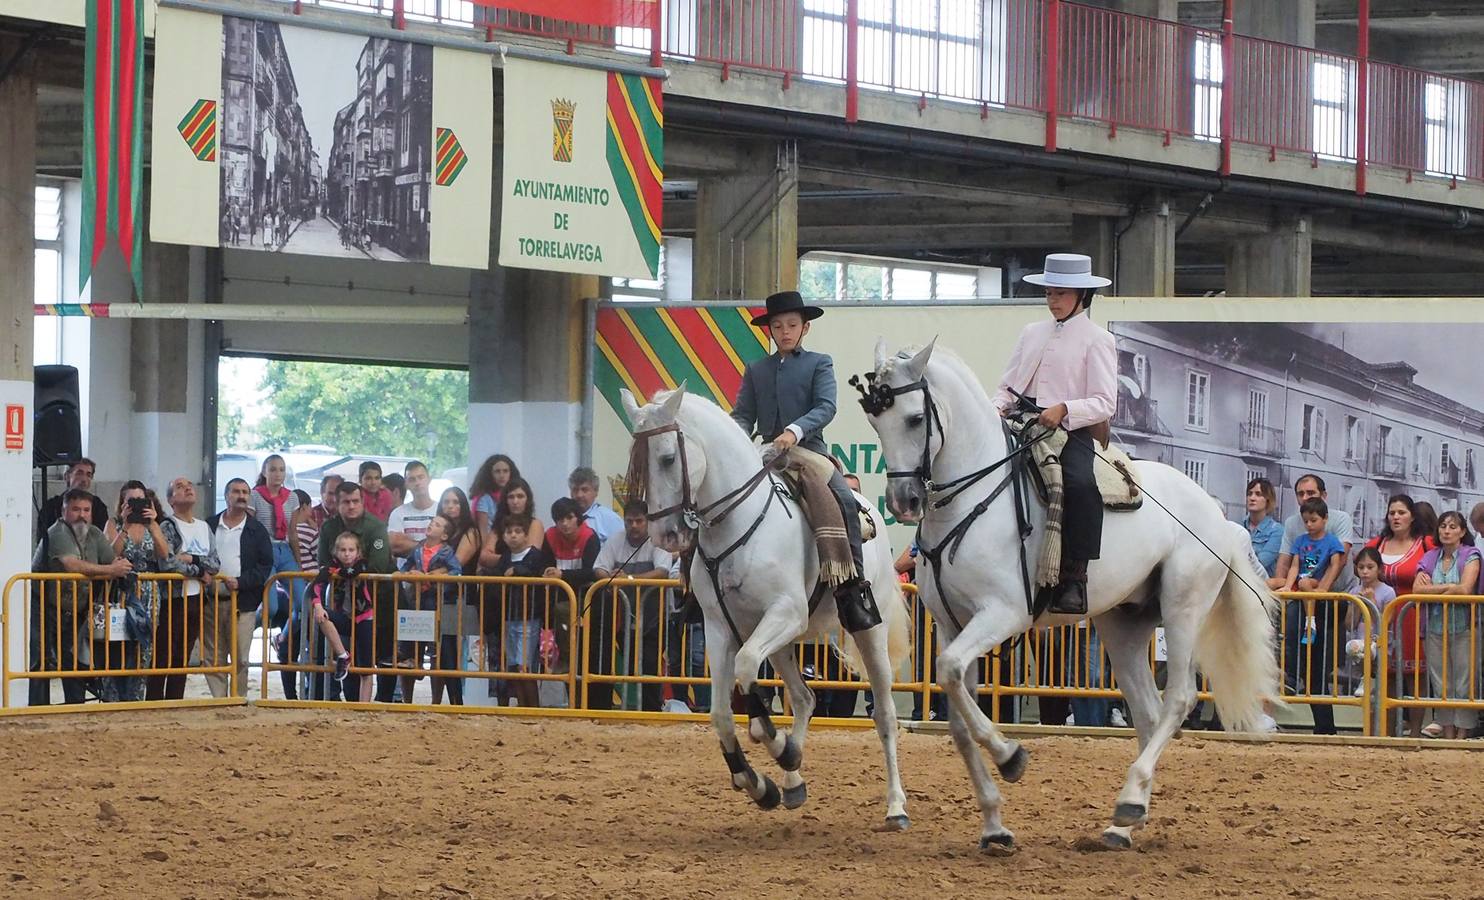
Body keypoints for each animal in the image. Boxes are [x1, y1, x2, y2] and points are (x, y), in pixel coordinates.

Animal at [617, 389, 914, 831]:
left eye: (668, 458)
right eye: (637, 463)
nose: (664, 535)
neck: (737, 523)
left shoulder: (786, 613)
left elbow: (744, 669)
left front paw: (774, 743)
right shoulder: (720, 628)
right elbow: (721, 713)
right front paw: (758, 781)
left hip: (864, 632)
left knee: (885, 716)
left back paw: (895, 807)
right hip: (782, 644)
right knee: (805, 698)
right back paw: (792, 782)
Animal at [866, 340, 1282, 855]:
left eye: (914, 419)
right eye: (876, 420)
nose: (902, 501)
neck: (972, 500)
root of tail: (1217, 514)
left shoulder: (1001, 615)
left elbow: (949, 674)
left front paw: (1011, 756)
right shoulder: (951, 624)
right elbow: (959, 712)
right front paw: (994, 825)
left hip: (1182, 609)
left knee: (1179, 699)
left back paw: (1129, 803)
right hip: (1124, 625)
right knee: (1147, 712)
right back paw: (1124, 823)